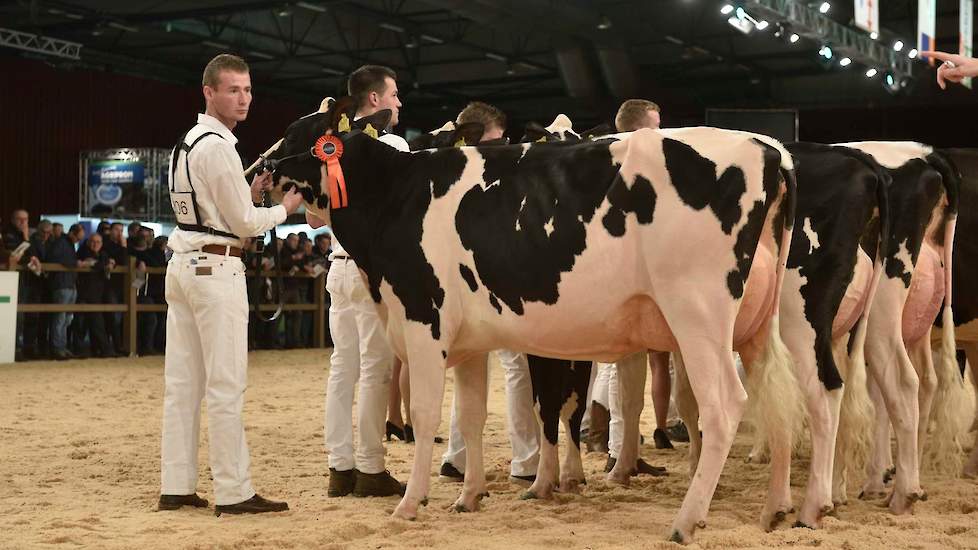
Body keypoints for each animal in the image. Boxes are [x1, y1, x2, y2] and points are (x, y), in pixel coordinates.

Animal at [262, 97, 800, 544]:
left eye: (293, 133)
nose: (258, 171)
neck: (396, 195)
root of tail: (769, 151)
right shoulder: (471, 340)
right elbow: (471, 415)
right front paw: (469, 496)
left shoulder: (422, 320)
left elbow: (427, 412)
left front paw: (412, 503)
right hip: (757, 327)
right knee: (777, 400)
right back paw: (777, 509)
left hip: (698, 316)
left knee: (725, 406)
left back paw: (686, 520)